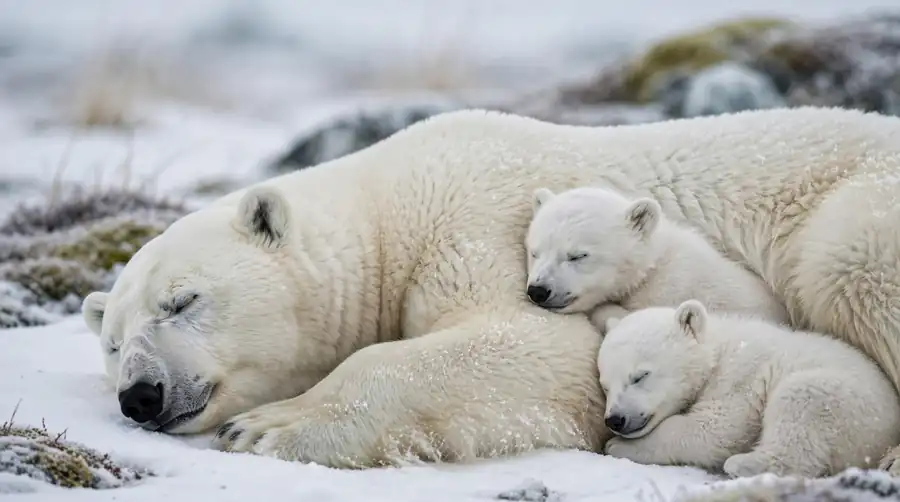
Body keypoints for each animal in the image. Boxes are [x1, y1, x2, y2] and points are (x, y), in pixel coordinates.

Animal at [597, 300, 900, 478]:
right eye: (605, 385)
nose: (615, 420)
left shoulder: (739, 377)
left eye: (640, 376)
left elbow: (714, 430)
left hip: (850, 407)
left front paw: (618, 446)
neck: (717, 352)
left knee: (800, 402)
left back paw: (742, 464)